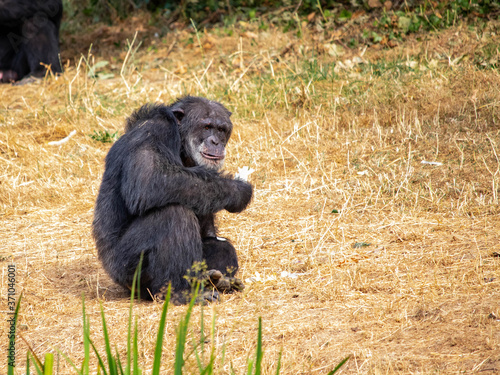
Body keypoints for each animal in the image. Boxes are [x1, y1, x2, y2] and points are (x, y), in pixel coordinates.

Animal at [92, 96, 252, 302]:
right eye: (207, 127)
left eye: (221, 130)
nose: (216, 141)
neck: (183, 147)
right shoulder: (156, 131)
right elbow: (148, 178)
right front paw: (237, 190)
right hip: (127, 271)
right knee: (174, 215)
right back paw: (181, 293)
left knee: (222, 246)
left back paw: (216, 281)